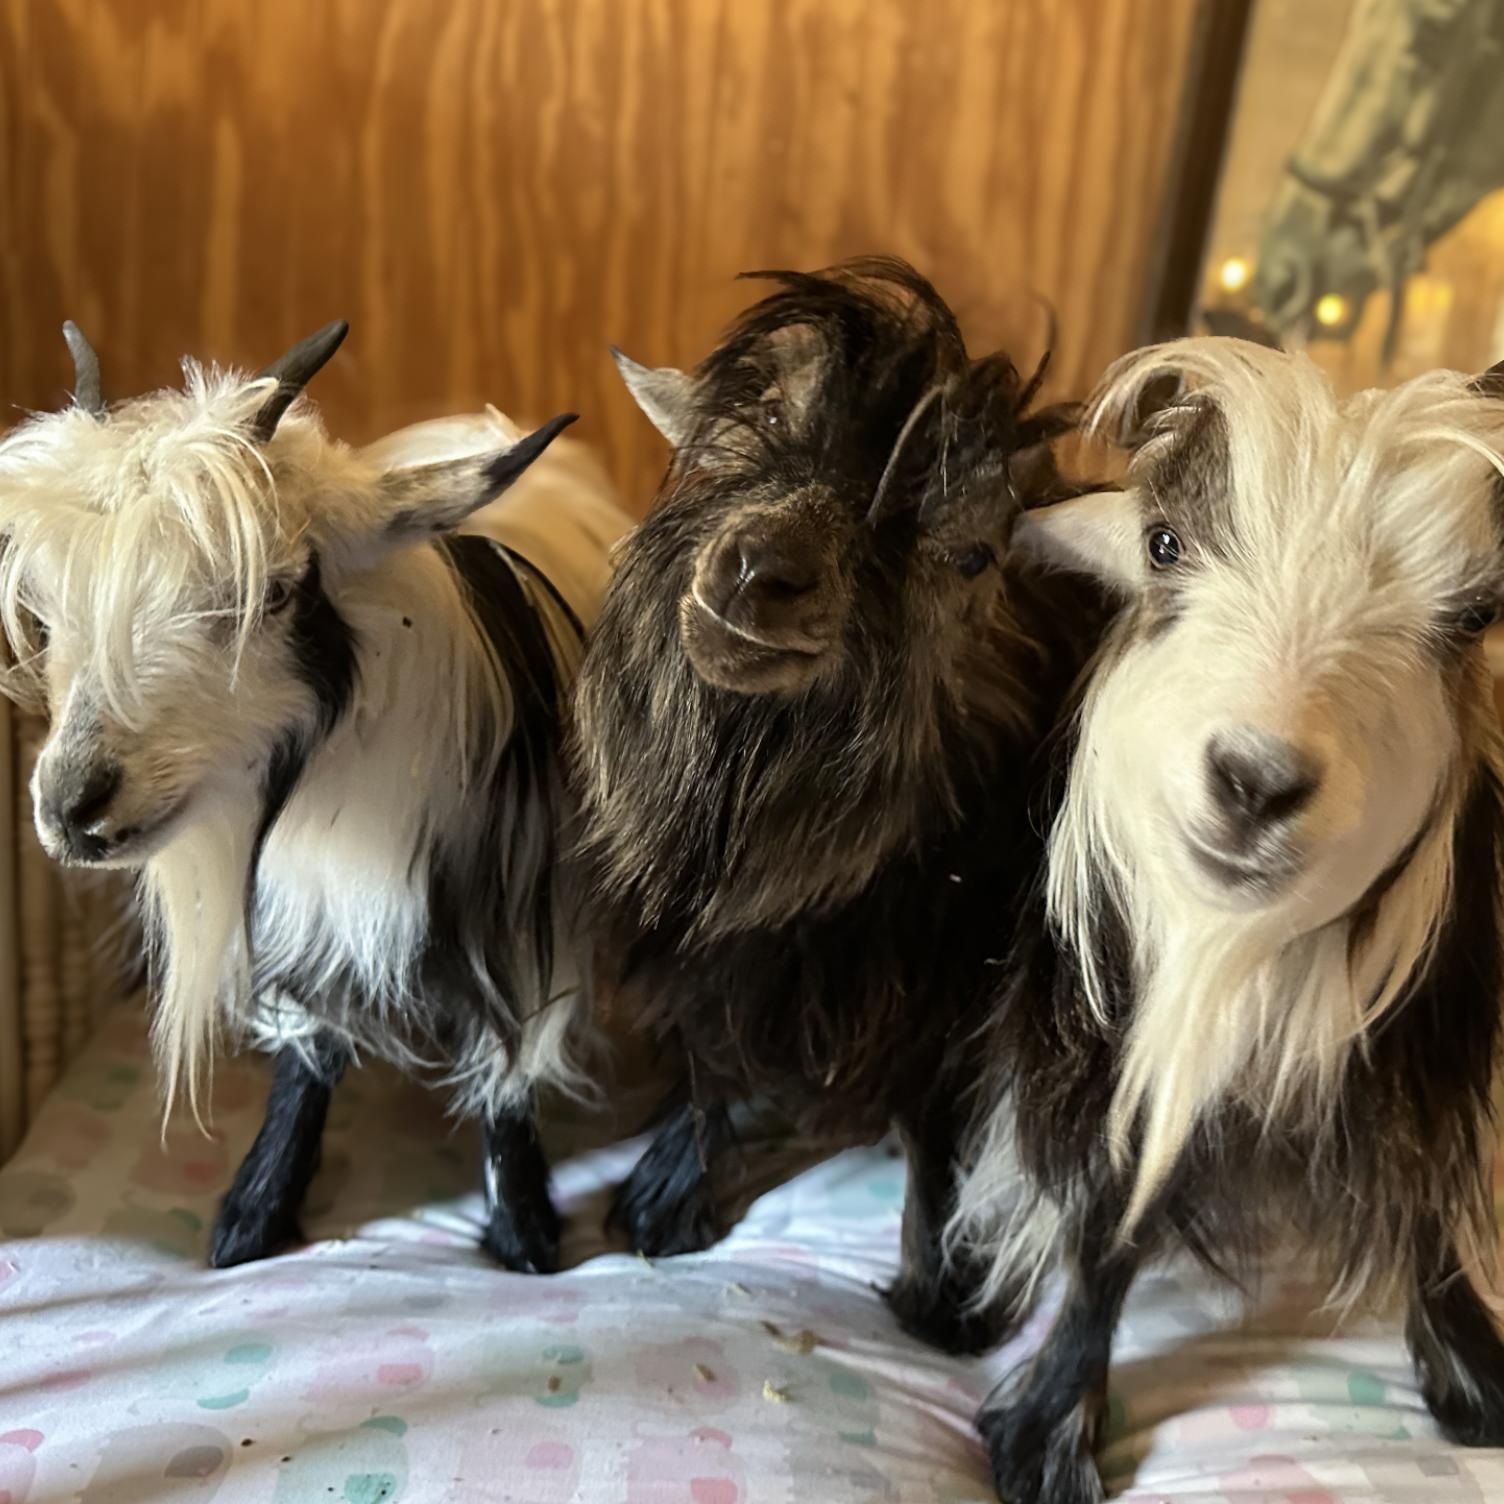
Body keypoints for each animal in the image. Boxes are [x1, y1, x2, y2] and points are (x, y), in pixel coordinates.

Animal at [0, 322, 630, 1272]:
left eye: (275, 592)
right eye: (47, 603)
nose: (72, 807)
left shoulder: (528, 917)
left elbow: (509, 1071)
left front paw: (524, 1228)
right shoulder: (306, 903)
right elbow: (309, 1058)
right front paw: (255, 1211)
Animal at [570, 257, 1105, 1352]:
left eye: (972, 554)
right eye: (739, 435)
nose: (756, 569)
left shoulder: (954, 992)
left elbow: (944, 1130)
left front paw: (948, 1289)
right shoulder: (706, 960)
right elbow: (708, 1061)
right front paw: (663, 1193)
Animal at [951, 337, 1504, 1504]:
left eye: (1474, 615)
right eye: (1164, 543)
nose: (1254, 782)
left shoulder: (1429, 1048)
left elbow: (1429, 1192)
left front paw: (1476, 1372)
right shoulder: (1096, 1037)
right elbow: (1107, 1220)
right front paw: (1050, 1435)